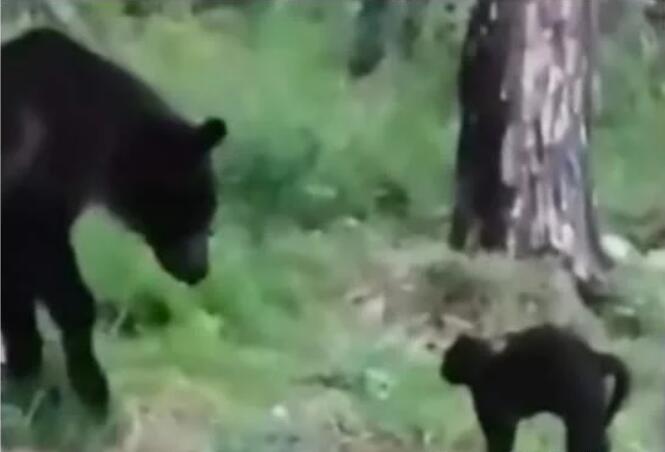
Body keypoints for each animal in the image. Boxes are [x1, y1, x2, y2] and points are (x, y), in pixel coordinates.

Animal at [1, 28, 227, 417]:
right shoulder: (33, 192)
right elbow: (59, 282)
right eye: (200, 211)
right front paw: (92, 389)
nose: (199, 270)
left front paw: (25, 371)